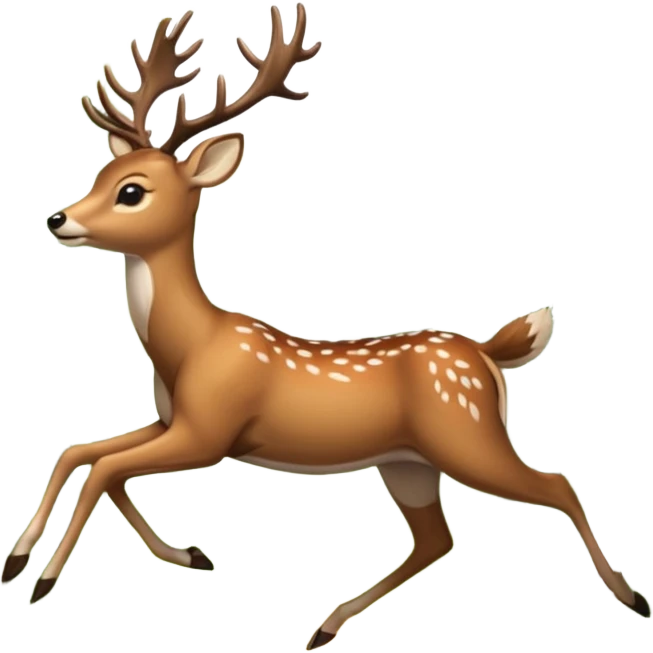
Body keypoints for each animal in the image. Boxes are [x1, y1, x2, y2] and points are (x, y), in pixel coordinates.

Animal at [8, 2, 650, 647]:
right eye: (100, 173)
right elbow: (82, 452)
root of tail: (488, 354)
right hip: (407, 461)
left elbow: (103, 468)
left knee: (557, 486)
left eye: (132, 191)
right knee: (437, 538)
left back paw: (632, 598)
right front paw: (157, 555)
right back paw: (326, 625)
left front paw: (44, 578)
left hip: (467, 436)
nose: (57, 218)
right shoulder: (171, 421)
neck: (189, 349)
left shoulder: (210, 431)